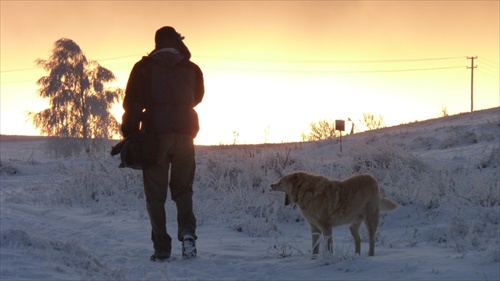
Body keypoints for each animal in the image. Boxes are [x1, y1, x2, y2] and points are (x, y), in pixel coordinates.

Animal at [270, 171, 398, 256]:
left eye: (280, 182)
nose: (271, 185)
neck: (305, 192)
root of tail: (372, 178)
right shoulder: (314, 228)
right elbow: (315, 247)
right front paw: (313, 259)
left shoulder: (326, 227)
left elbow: (329, 247)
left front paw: (329, 259)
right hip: (353, 225)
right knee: (358, 240)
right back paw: (356, 256)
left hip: (370, 220)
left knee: (371, 239)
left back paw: (370, 255)